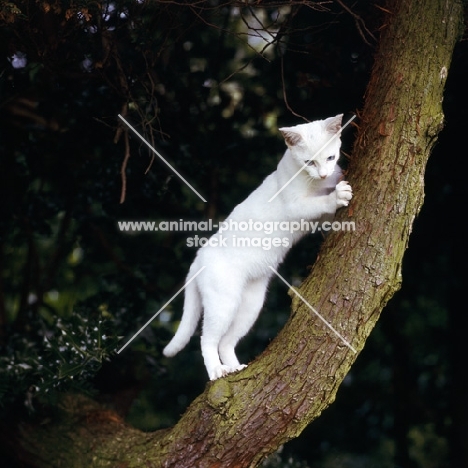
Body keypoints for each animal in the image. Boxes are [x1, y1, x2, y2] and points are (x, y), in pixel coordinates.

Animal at [164, 113, 352, 380]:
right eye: (309, 162)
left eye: (330, 158)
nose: (324, 174)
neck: (313, 182)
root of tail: (198, 257)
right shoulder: (296, 206)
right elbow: (321, 202)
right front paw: (338, 194)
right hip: (223, 303)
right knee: (207, 340)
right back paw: (217, 372)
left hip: (250, 305)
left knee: (226, 342)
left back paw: (236, 368)